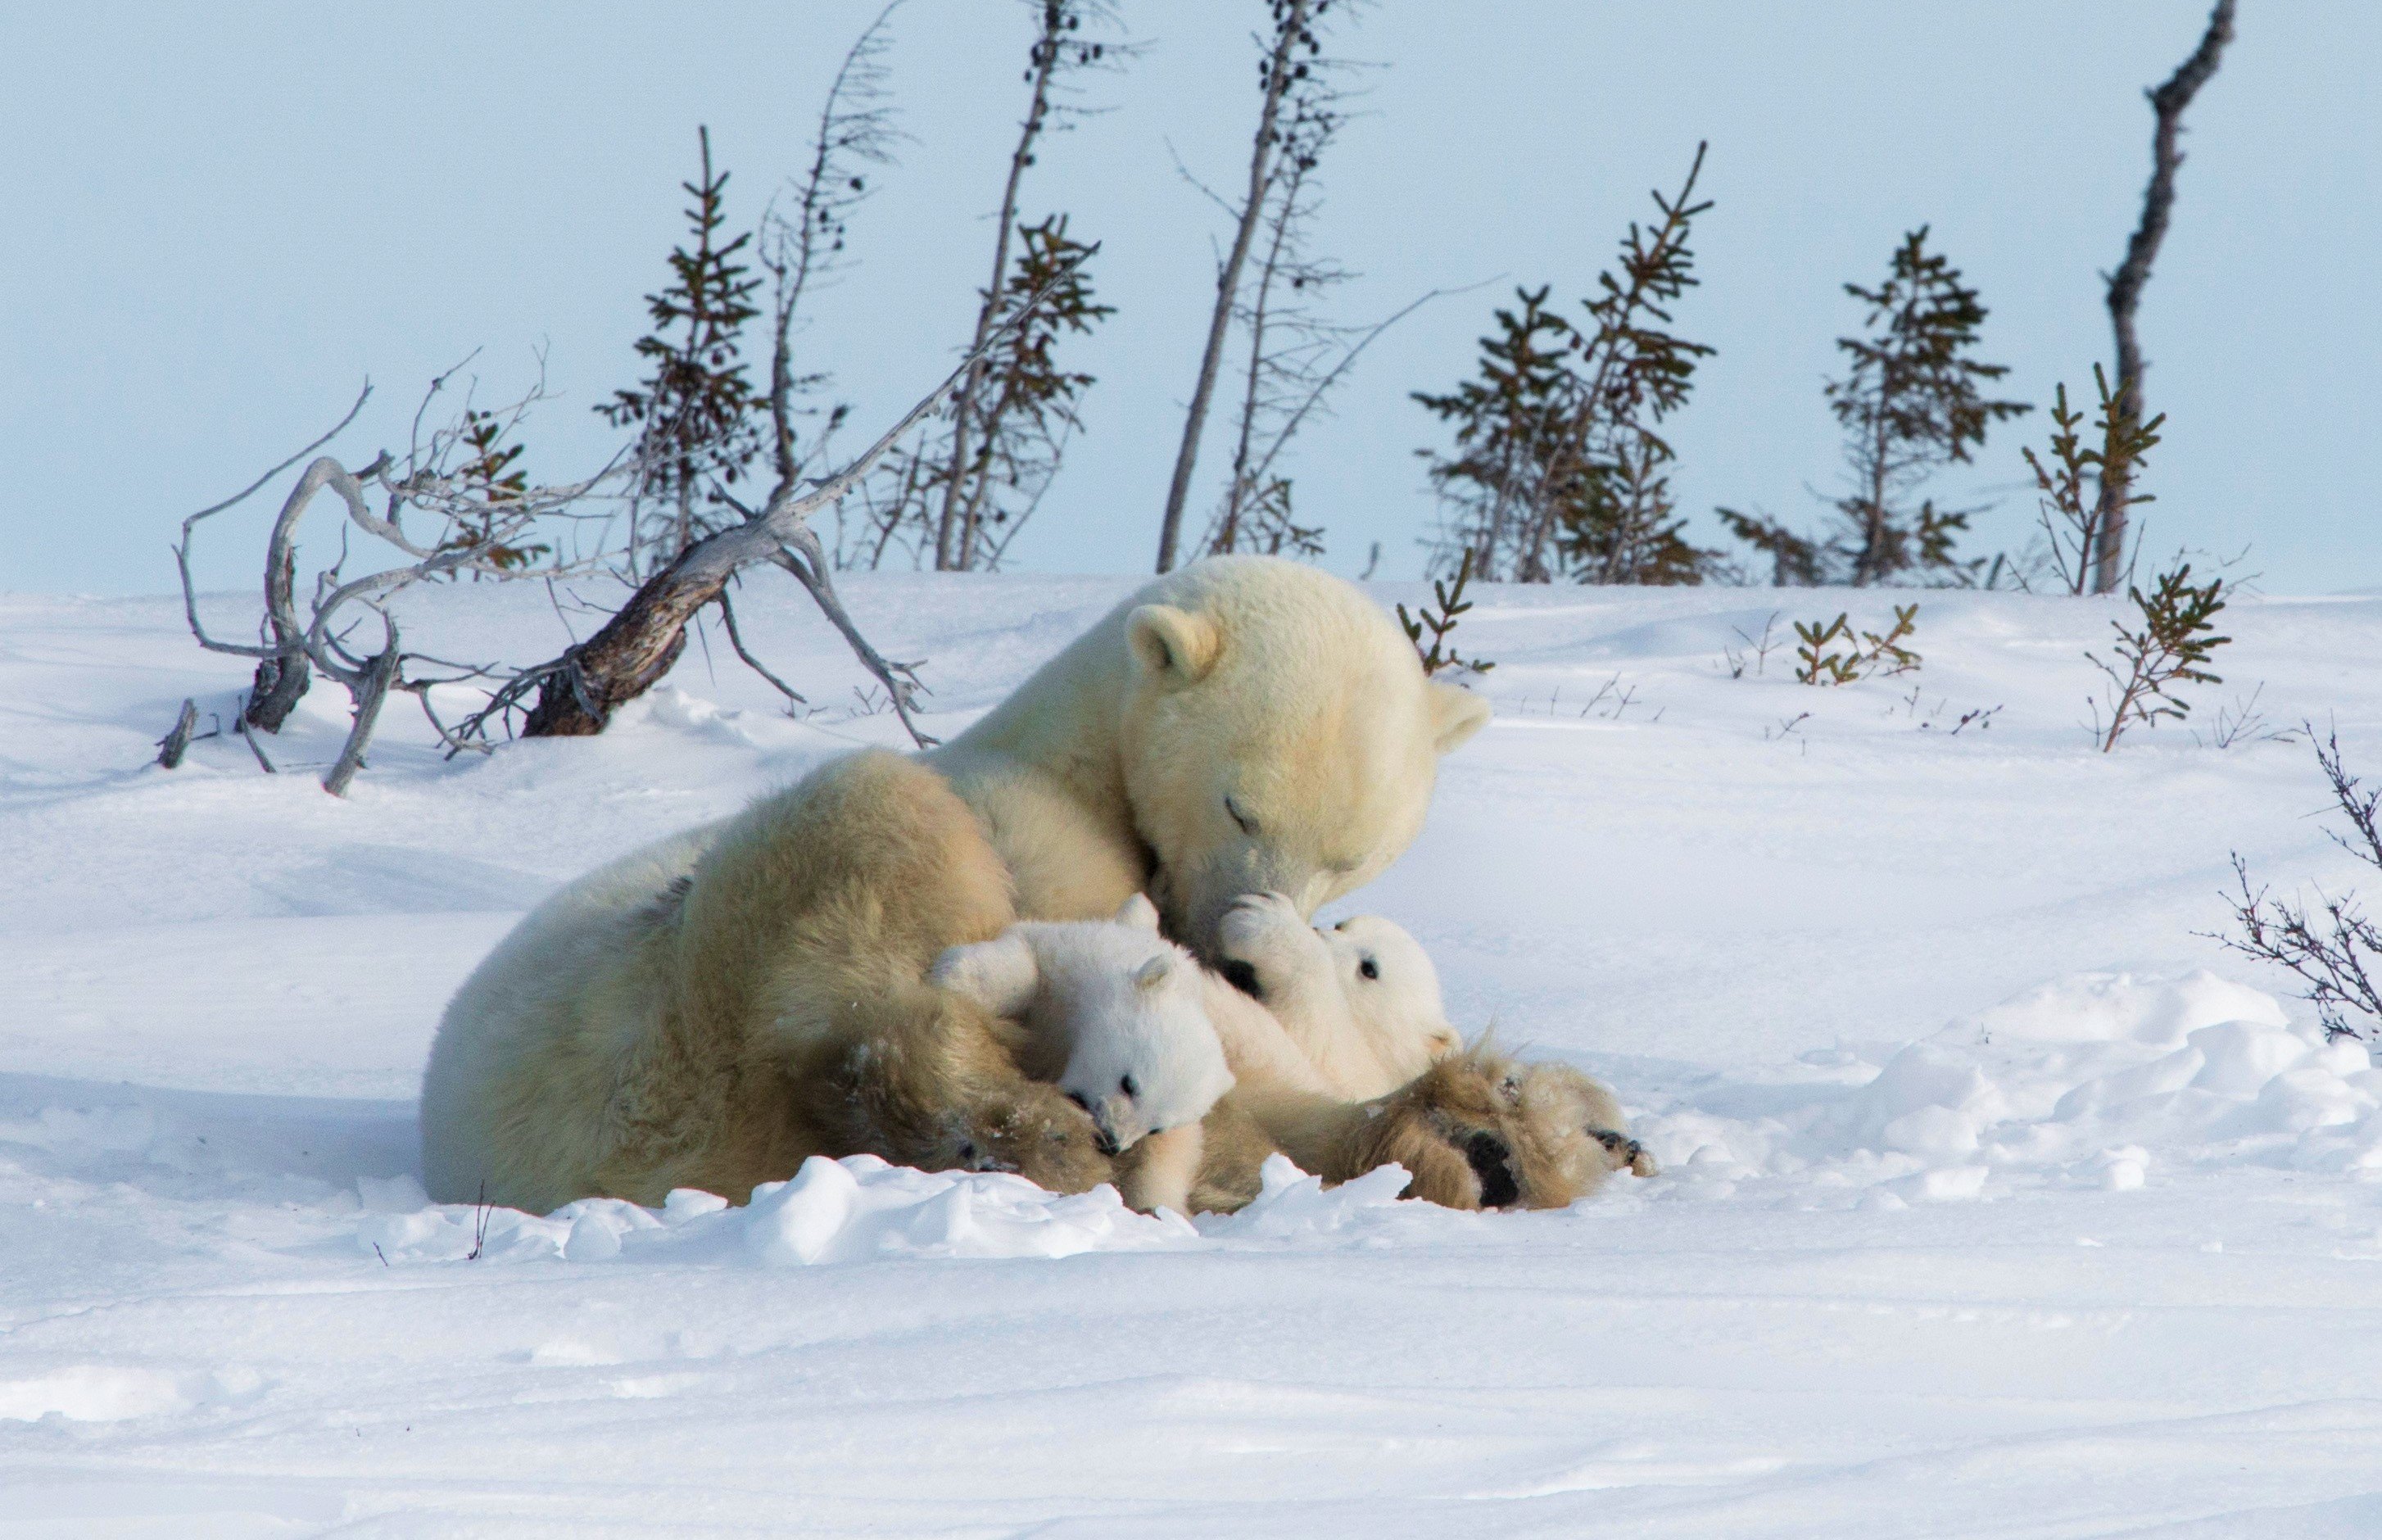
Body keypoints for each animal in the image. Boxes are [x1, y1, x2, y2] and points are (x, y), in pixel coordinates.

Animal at [421, 555, 1610, 1221]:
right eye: (1240, 807)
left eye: (1353, 852)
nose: (1235, 947)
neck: (1076, 759)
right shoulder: (1034, 828)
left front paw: (1515, 1125)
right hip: (662, 1022)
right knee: (863, 932)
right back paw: (1034, 1130)